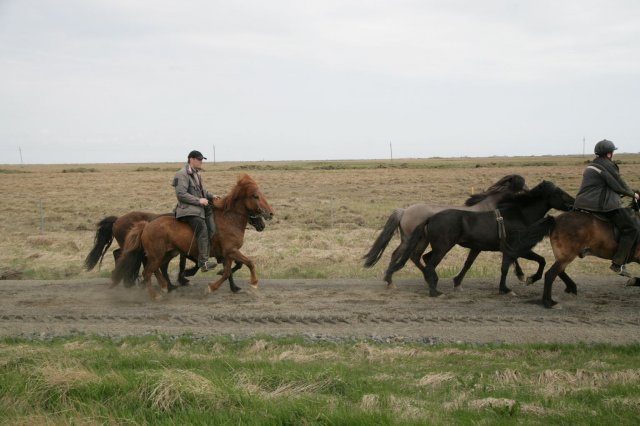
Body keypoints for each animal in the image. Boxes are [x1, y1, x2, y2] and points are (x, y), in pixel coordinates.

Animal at [111, 175, 274, 302]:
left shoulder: (228, 254)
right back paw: (156, 295)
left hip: (167, 254)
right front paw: (253, 282)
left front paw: (213, 287)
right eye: (255, 196)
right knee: (147, 273)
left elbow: (228, 271)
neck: (229, 220)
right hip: (157, 255)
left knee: (156, 269)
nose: (270, 214)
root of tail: (146, 225)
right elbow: (249, 263)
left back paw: (165, 286)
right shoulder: (231, 251)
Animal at [362, 173, 528, 286]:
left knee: (405, 255)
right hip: (413, 239)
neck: (488, 207)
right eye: (522, 184)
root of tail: (404, 211)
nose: (529, 191)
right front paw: (521, 275)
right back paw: (394, 279)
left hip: (414, 240)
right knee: (404, 255)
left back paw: (395, 279)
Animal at [384, 181, 576, 298]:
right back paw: (434, 291)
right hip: (442, 247)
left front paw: (506, 287)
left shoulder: (500, 250)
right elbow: (539, 261)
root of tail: (430, 218)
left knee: (423, 259)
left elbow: (503, 267)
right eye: (559, 192)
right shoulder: (518, 248)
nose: (573, 202)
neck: (518, 215)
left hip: (436, 246)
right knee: (427, 263)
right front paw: (526, 280)